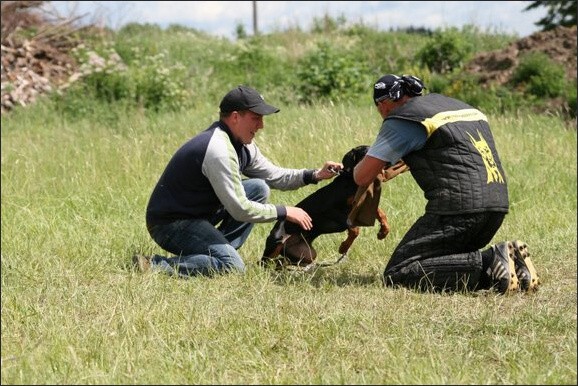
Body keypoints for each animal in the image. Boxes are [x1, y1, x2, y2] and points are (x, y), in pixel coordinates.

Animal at [258, 146, 408, 272]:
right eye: (366, 153)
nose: (394, 159)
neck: (351, 181)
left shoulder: (361, 205)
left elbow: (381, 214)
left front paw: (383, 232)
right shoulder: (334, 211)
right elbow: (354, 228)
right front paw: (343, 247)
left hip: (307, 254)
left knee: (282, 261)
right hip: (276, 243)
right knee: (265, 262)